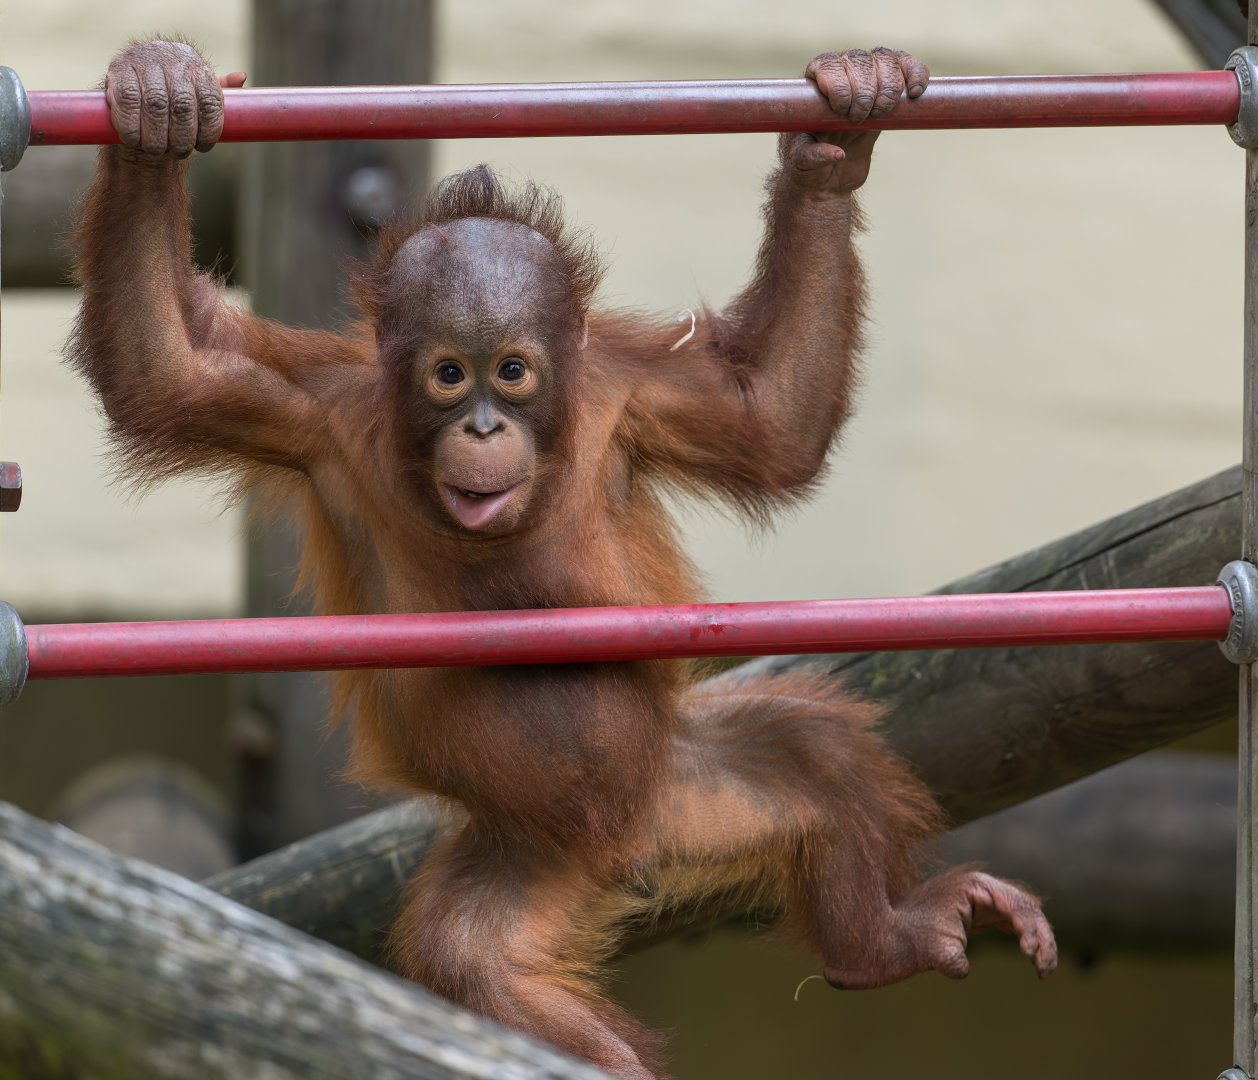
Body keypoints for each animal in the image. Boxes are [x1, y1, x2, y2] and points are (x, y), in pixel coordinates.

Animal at [69, 39, 1056, 1080]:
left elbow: (771, 419)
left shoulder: (633, 394)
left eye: (513, 370)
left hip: (687, 786)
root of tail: (624, 853)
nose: (483, 427)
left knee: (805, 747)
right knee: (477, 964)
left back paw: (885, 940)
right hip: (528, 859)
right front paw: (157, 102)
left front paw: (838, 138)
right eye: (448, 375)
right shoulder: (312, 412)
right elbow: (172, 372)